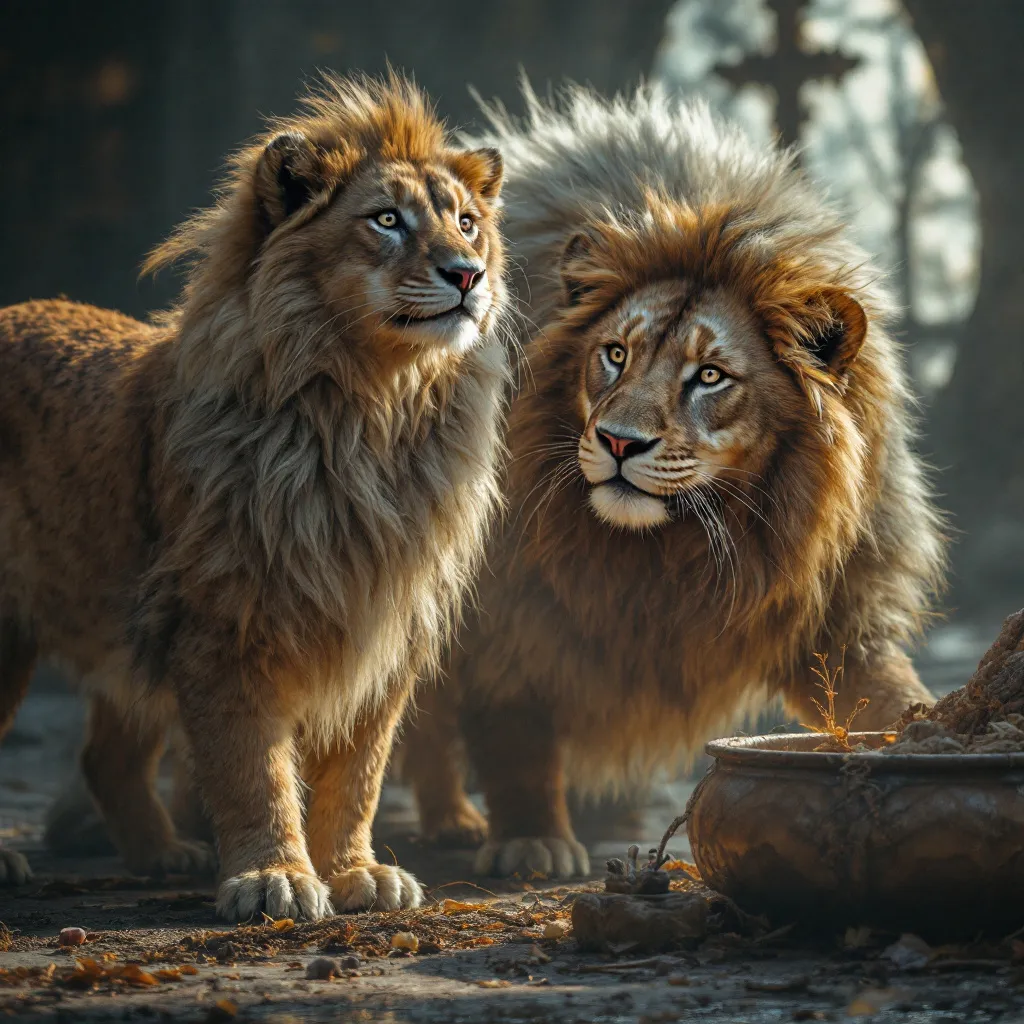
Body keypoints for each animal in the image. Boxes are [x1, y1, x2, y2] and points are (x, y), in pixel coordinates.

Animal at [0, 72, 508, 918]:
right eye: (387, 220)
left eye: (467, 222)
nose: (468, 274)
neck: (370, 416)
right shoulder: (223, 622)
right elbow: (251, 769)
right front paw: (274, 878)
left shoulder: (378, 620)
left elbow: (359, 773)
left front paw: (356, 872)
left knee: (106, 757)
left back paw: (161, 856)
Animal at [399, 83, 945, 878]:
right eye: (615, 354)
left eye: (709, 376)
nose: (619, 443)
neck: (675, 550)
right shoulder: (507, 616)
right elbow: (513, 734)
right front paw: (531, 839)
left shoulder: (839, 607)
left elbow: (885, 694)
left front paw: (935, 738)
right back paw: (452, 821)